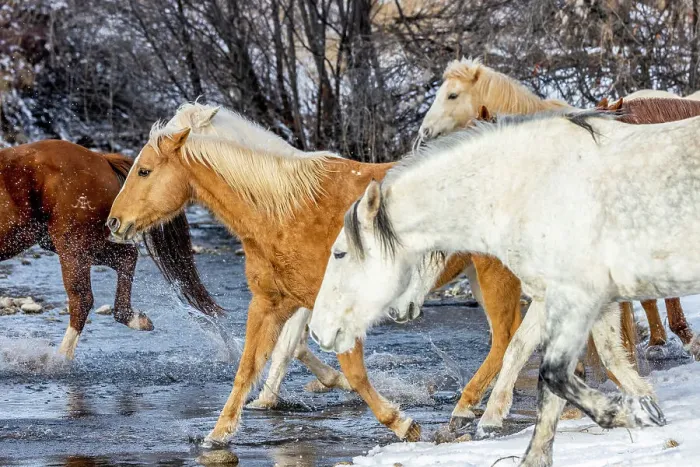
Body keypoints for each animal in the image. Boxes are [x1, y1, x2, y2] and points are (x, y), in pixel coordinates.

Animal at [0, 140, 222, 359]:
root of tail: (101, 159)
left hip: (71, 244)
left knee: (82, 298)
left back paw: (59, 359)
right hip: (70, 244)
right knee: (126, 257)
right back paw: (134, 319)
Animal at [308, 110, 700, 466]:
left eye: (339, 253)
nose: (317, 330)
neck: (525, 188)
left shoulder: (574, 297)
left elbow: (553, 374)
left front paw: (631, 412)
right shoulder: (566, 297)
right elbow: (564, 359)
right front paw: (645, 405)